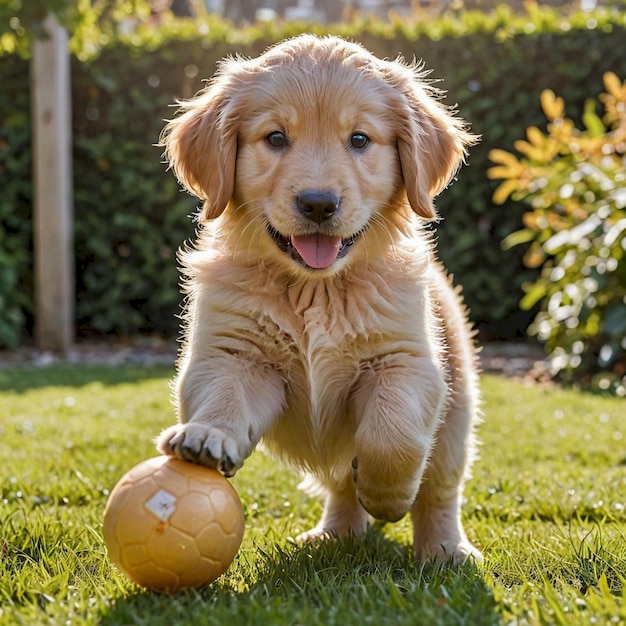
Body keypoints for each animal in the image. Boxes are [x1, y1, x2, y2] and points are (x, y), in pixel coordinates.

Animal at [157, 33, 482, 560]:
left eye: (359, 139)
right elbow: (223, 395)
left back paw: (444, 549)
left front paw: (388, 496)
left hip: (457, 420)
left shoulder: (405, 361)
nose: (318, 204)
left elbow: (391, 437)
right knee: (340, 488)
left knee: (440, 490)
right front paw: (207, 436)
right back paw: (336, 532)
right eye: (275, 138)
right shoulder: (234, 353)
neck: (316, 289)